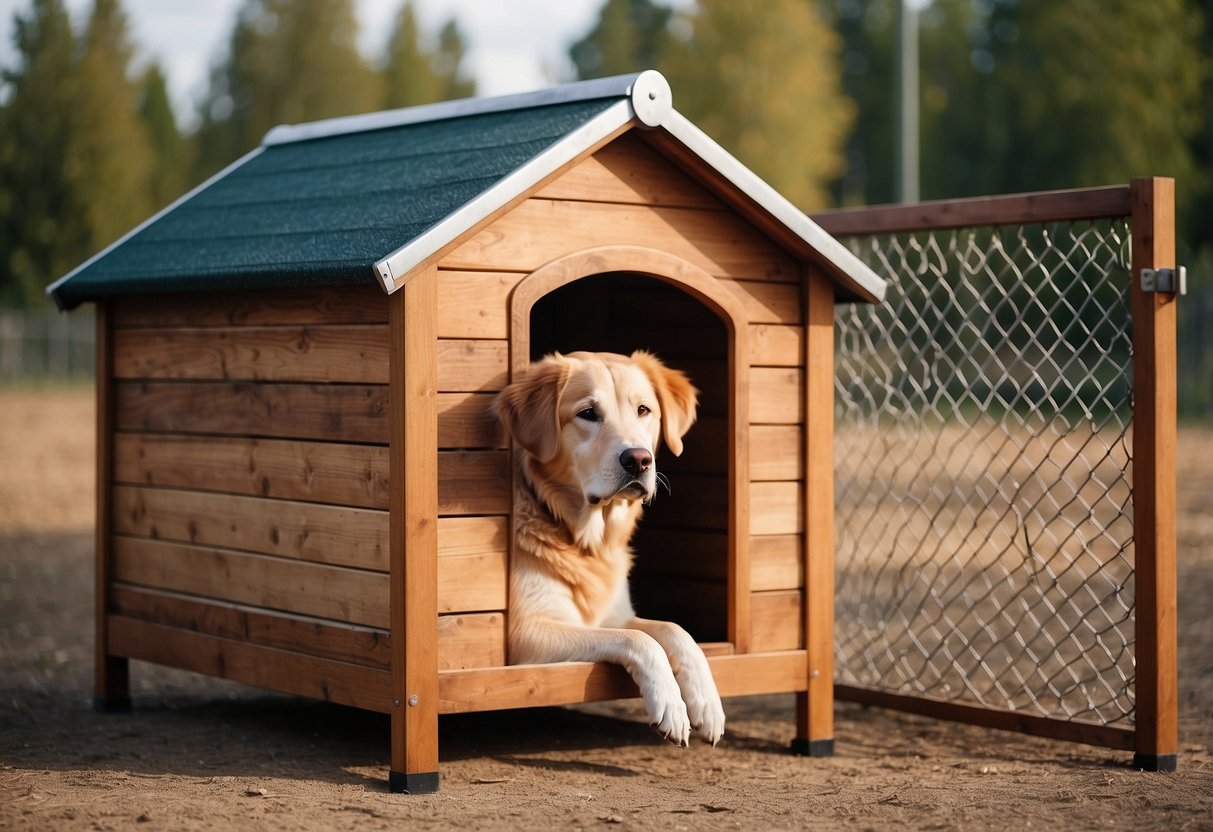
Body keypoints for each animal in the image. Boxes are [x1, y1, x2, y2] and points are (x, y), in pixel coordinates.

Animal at [490, 351, 722, 751]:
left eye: (643, 409)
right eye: (588, 413)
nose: (639, 460)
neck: (585, 540)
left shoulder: (613, 616)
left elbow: (674, 631)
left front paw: (707, 702)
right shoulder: (525, 634)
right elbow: (641, 640)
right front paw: (670, 705)